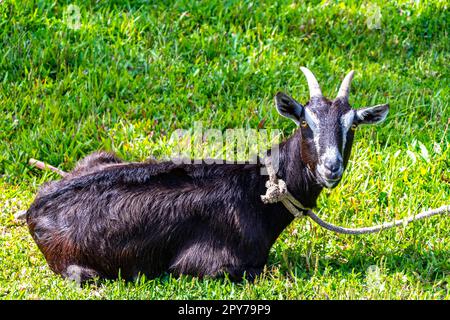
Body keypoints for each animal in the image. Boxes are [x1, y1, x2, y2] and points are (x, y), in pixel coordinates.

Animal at [25, 67, 390, 282]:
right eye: (304, 122)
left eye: (352, 125)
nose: (331, 166)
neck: (255, 191)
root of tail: (33, 211)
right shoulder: (211, 265)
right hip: (83, 270)